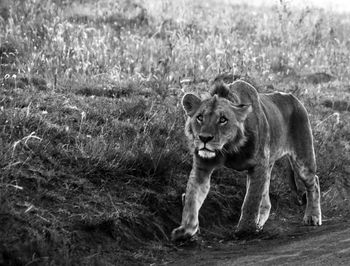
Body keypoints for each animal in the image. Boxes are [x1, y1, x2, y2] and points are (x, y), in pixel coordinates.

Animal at [171, 78, 322, 240]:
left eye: (223, 120)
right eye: (200, 117)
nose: (204, 138)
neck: (228, 148)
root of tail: (293, 97)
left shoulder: (258, 165)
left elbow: (251, 201)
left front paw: (245, 230)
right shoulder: (202, 167)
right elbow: (191, 198)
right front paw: (185, 230)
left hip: (302, 160)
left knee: (314, 182)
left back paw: (312, 217)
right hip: (269, 166)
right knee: (266, 202)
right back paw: (259, 224)